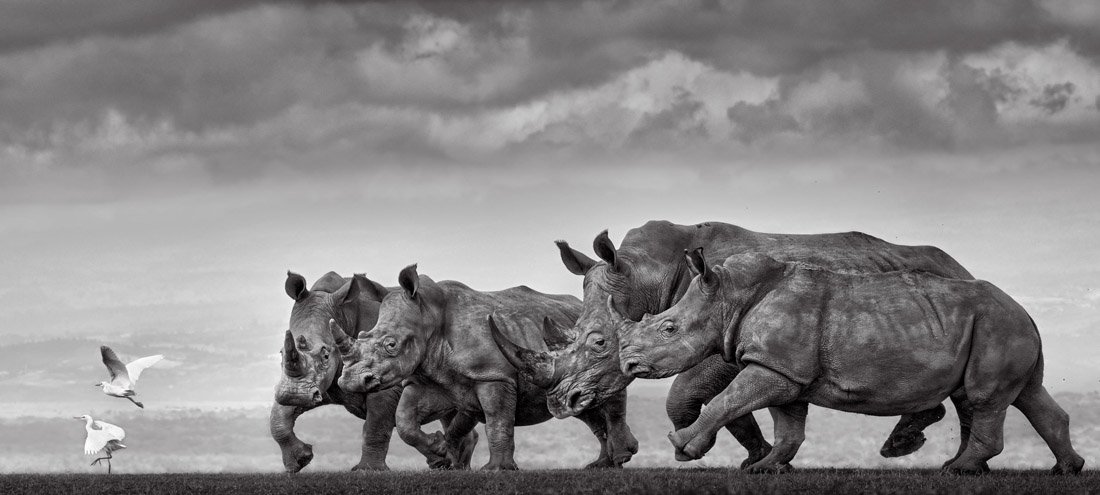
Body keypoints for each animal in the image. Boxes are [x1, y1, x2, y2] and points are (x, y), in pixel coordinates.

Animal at [272, 271, 477, 472]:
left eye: (326, 355)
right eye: (281, 352)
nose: (294, 394)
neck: (343, 315)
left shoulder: (387, 379)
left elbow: (375, 425)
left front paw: (368, 470)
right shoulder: (319, 384)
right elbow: (278, 415)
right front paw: (300, 460)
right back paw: (452, 467)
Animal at [335, 264, 639, 470]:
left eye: (391, 345)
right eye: (363, 335)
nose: (350, 381)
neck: (429, 315)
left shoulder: (494, 376)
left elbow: (497, 420)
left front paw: (497, 470)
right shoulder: (427, 379)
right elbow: (405, 419)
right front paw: (440, 452)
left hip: (599, 350)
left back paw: (619, 457)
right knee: (583, 405)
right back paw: (603, 464)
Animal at [498, 220, 975, 466]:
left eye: (600, 342)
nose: (563, 402)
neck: (645, 274)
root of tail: (962, 267)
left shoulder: (722, 331)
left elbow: (688, 392)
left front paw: (699, 451)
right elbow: (724, 399)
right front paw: (759, 458)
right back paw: (905, 443)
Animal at [616, 249, 1085, 475]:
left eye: (669, 328)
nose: (629, 366)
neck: (728, 297)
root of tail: (1026, 311)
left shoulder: (776, 367)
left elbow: (726, 400)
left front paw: (681, 449)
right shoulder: (784, 369)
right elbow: (788, 426)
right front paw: (767, 469)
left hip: (997, 326)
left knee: (985, 398)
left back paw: (958, 470)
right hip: (1001, 326)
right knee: (1026, 395)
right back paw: (1065, 469)